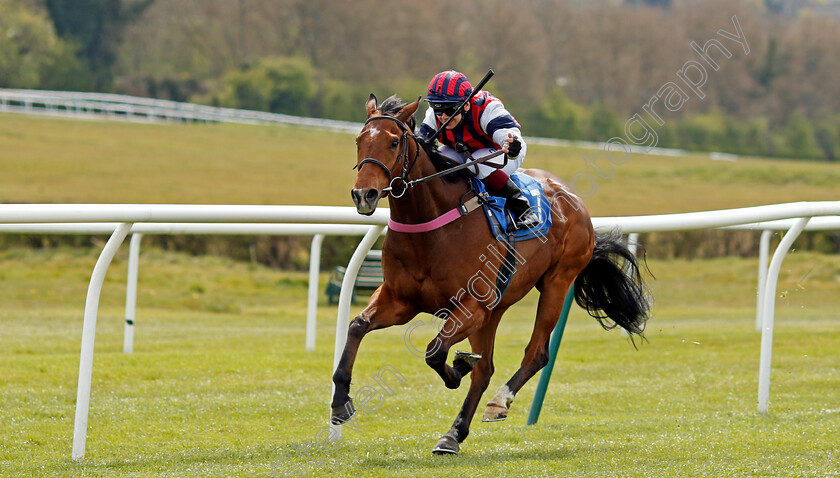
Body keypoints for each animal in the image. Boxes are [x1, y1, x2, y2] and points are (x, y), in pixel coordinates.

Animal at [330, 94, 648, 456]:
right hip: (496, 309)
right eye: (359, 140)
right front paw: (340, 402)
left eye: (394, 142)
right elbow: (357, 326)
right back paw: (453, 434)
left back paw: (498, 402)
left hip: (556, 282)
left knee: (536, 353)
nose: (363, 195)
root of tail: (572, 198)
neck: (429, 225)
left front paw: (457, 369)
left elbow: (435, 351)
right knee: (486, 369)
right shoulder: (400, 300)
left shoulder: (472, 305)